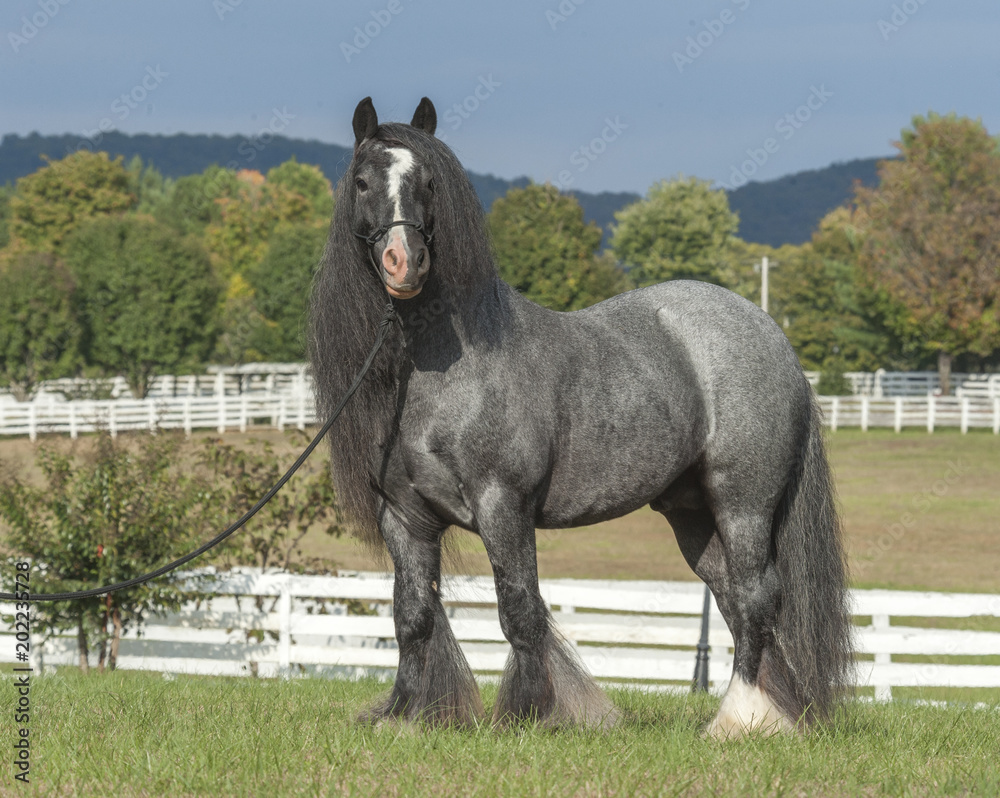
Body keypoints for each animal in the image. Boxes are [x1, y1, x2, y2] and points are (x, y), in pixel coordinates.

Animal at [310, 97, 852, 740]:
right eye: (362, 182)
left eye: (430, 182)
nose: (404, 263)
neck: (443, 366)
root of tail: (769, 333)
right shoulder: (405, 519)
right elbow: (414, 617)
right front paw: (406, 717)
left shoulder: (502, 505)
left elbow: (520, 611)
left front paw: (527, 715)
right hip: (693, 516)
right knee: (734, 600)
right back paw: (775, 714)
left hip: (744, 504)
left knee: (755, 597)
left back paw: (739, 718)